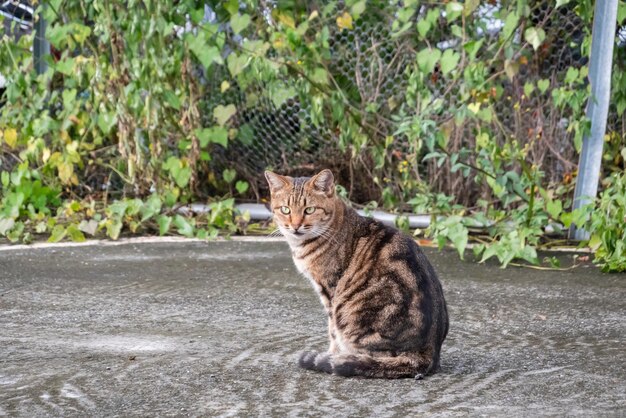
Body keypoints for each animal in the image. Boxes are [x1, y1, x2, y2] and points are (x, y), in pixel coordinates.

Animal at [266, 167, 446, 378]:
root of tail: (427, 354)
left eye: (309, 210)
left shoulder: (330, 291)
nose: (294, 226)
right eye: (285, 209)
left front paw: (331, 355)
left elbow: (332, 332)